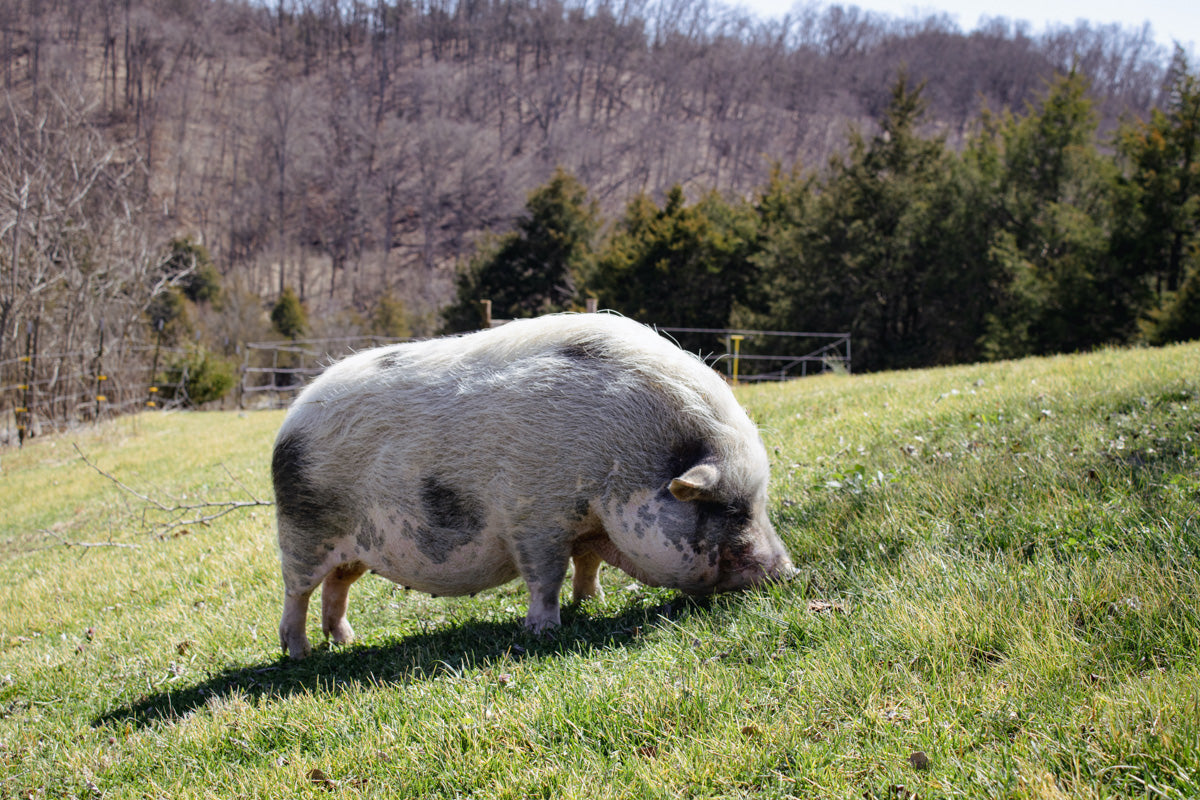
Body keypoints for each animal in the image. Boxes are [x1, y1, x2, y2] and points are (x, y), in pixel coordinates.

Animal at [273, 311, 796, 657]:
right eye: (730, 508)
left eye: (758, 502)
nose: (788, 572)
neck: (619, 459)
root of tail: (290, 421)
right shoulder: (535, 518)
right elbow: (547, 576)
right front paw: (545, 631)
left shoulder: (586, 524)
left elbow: (587, 565)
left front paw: (593, 603)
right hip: (302, 533)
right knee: (297, 594)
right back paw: (300, 653)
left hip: (355, 550)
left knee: (337, 586)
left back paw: (344, 641)